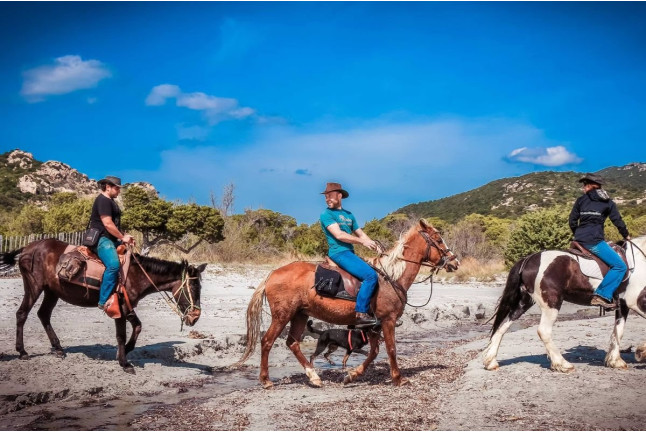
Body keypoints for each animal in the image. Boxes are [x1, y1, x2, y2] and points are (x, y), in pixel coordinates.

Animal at [0, 238, 206, 373]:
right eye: (193, 287)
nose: (195, 317)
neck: (136, 274)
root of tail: (28, 247)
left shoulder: (128, 307)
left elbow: (137, 327)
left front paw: (126, 351)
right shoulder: (120, 308)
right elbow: (122, 334)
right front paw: (124, 363)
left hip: (52, 291)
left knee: (43, 315)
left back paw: (58, 349)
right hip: (34, 286)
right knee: (22, 314)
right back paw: (22, 352)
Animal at [237, 219, 460, 388]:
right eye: (438, 239)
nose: (455, 262)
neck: (391, 277)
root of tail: (273, 274)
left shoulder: (374, 326)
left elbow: (374, 352)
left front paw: (352, 375)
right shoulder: (387, 321)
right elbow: (391, 349)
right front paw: (399, 378)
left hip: (300, 314)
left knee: (292, 343)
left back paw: (314, 377)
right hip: (282, 315)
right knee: (267, 341)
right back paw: (266, 380)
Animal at [483, 235, 646, 373]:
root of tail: (528, 259)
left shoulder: (623, 305)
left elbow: (618, 331)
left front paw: (615, 361)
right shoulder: (636, 302)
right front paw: (641, 352)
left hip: (524, 303)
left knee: (502, 327)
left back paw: (491, 361)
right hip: (552, 303)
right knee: (543, 331)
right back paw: (561, 364)